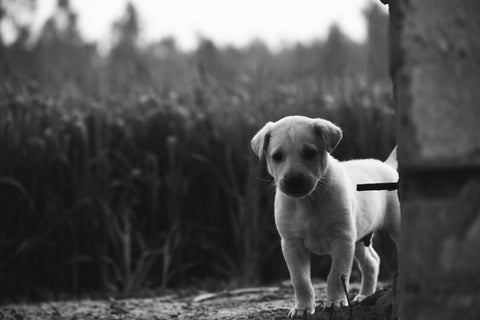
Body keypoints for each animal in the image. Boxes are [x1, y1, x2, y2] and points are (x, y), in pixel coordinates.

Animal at [249, 115, 400, 318]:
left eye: (309, 153)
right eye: (277, 156)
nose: (294, 180)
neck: (308, 201)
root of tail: (387, 166)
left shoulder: (342, 238)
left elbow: (336, 274)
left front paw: (335, 302)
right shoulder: (291, 244)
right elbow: (301, 280)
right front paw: (302, 308)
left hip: (391, 228)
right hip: (359, 238)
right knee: (372, 262)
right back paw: (364, 296)